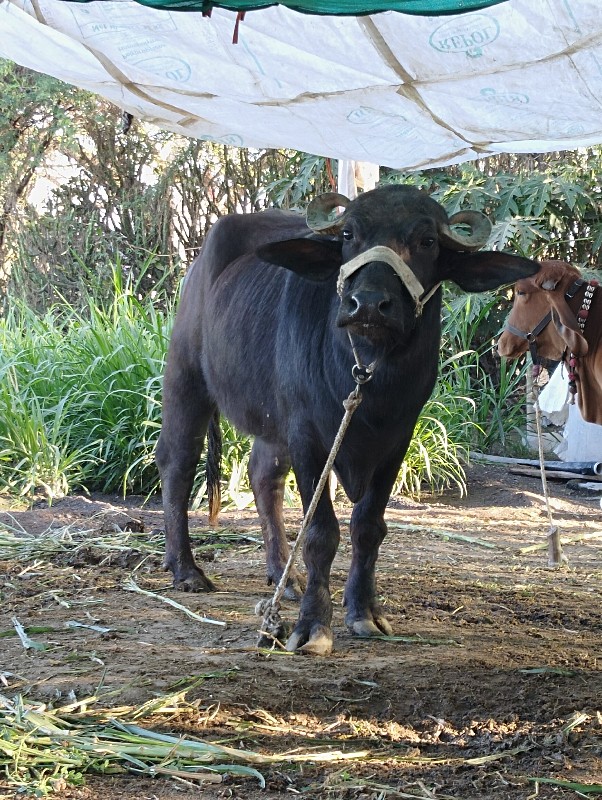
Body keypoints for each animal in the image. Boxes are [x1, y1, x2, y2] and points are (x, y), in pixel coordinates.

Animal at [155, 184, 536, 652]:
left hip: (272, 423)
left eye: (427, 240)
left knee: (263, 475)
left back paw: (286, 578)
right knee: (177, 462)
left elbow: (367, 526)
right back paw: (186, 570)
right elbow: (321, 532)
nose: (368, 304)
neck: (367, 370)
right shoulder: (307, 435)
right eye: (350, 234)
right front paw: (313, 625)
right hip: (186, 379)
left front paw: (364, 612)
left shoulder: (397, 440)